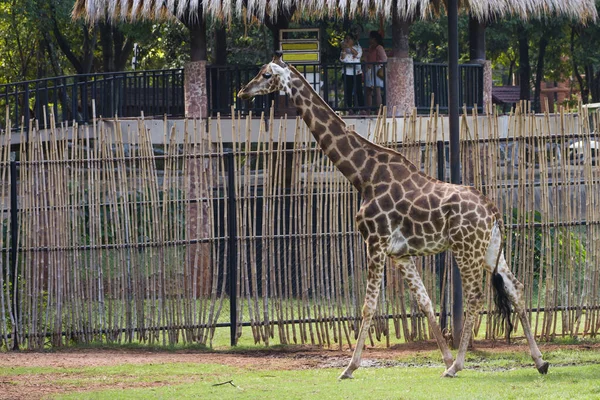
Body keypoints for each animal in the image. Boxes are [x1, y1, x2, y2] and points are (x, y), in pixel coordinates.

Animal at [238, 53, 548, 378]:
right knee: (516, 288)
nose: (242, 92)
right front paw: (445, 358)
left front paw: (349, 367)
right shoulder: (400, 254)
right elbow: (425, 302)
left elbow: (368, 306)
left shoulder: (374, 242)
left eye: (265, 74)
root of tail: (493, 210)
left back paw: (459, 366)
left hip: (466, 249)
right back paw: (540, 361)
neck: (363, 175)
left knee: (476, 295)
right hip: (490, 250)